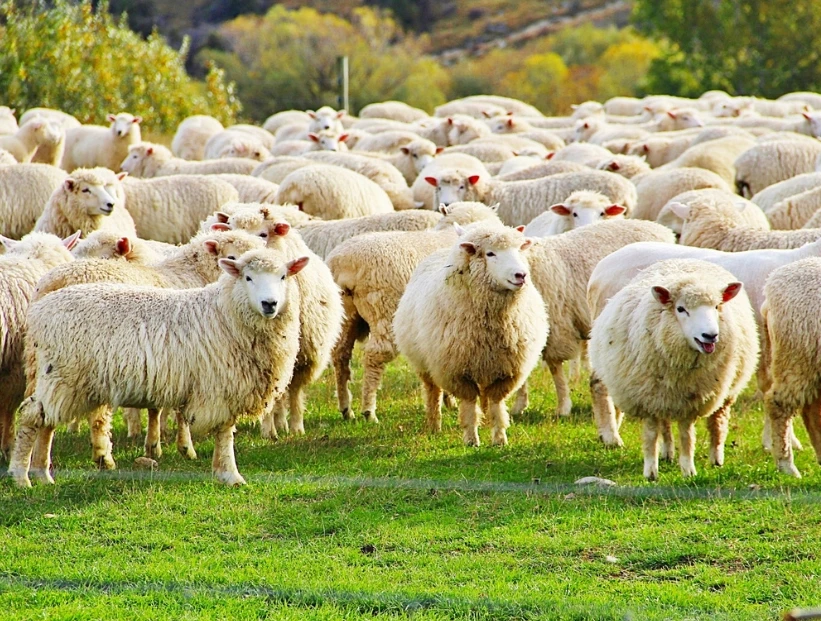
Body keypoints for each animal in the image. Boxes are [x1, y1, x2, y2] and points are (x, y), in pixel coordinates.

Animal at [9, 247, 306, 487]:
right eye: (248, 277)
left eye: (283, 277)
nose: (270, 304)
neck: (226, 313)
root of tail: (40, 309)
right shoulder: (220, 386)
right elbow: (225, 433)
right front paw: (230, 475)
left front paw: (221, 471)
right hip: (61, 374)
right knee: (32, 417)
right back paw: (21, 477)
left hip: (61, 379)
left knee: (46, 422)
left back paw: (41, 474)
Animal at [327, 202, 504, 422]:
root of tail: (342, 262)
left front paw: (449, 400)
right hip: (383, 310)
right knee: (374, 356)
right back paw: (369, 411)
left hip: (346, 314)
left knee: (340, 354)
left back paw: (346, 408)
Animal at [393, 224, 548, 446]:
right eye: (490, 253)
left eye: (519, 249)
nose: (521, 275)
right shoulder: (456, 372)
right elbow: (468, 405)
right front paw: (471, 439)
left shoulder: (507, 371)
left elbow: (496, 404)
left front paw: (499, 438)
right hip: (425, 364)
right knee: (433, 393)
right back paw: (434, 425)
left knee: (484, 396)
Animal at [588, 259, 758, 479]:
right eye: (680, 309)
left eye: (717, 306)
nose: (710, 336)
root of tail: (686, 260)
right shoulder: (648, 398)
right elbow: (651, 434)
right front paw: (651, 471)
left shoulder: (692, 399)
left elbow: (687, 435)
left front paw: (688, 470)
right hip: (662, 394)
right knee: (665, 422)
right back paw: (666, 453)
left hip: (726, 389)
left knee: (717, 421)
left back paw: (716, 458)